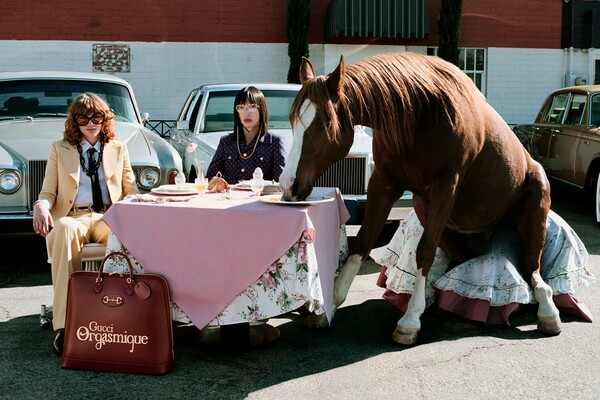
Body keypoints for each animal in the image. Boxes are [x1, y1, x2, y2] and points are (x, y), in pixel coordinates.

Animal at [278, 51, 560, 344]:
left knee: (533, 271)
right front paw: (329, 308)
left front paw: (410, 320)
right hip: (427, 212)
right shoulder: (383, 184)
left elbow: (424, 251)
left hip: (534, 211)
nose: (289, 185)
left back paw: (548, 311)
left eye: (325, 123)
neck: (420, 113)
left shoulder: (445, 187)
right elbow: (362, 244)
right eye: (293, 120)